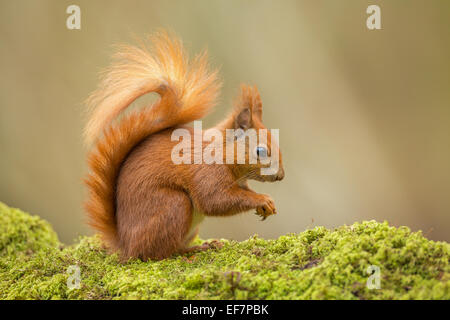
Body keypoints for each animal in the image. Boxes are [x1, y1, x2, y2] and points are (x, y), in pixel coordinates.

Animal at [84, 31, 284, 260]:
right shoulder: (207, 172)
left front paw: (266, 206)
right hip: (175, 206)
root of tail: (126, 246)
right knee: (158, 253)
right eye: (260, 151)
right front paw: (262, 199)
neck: (220, 151)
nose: (281, 176)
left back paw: (205, 245)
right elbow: (216, 200)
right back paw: (191, 252)